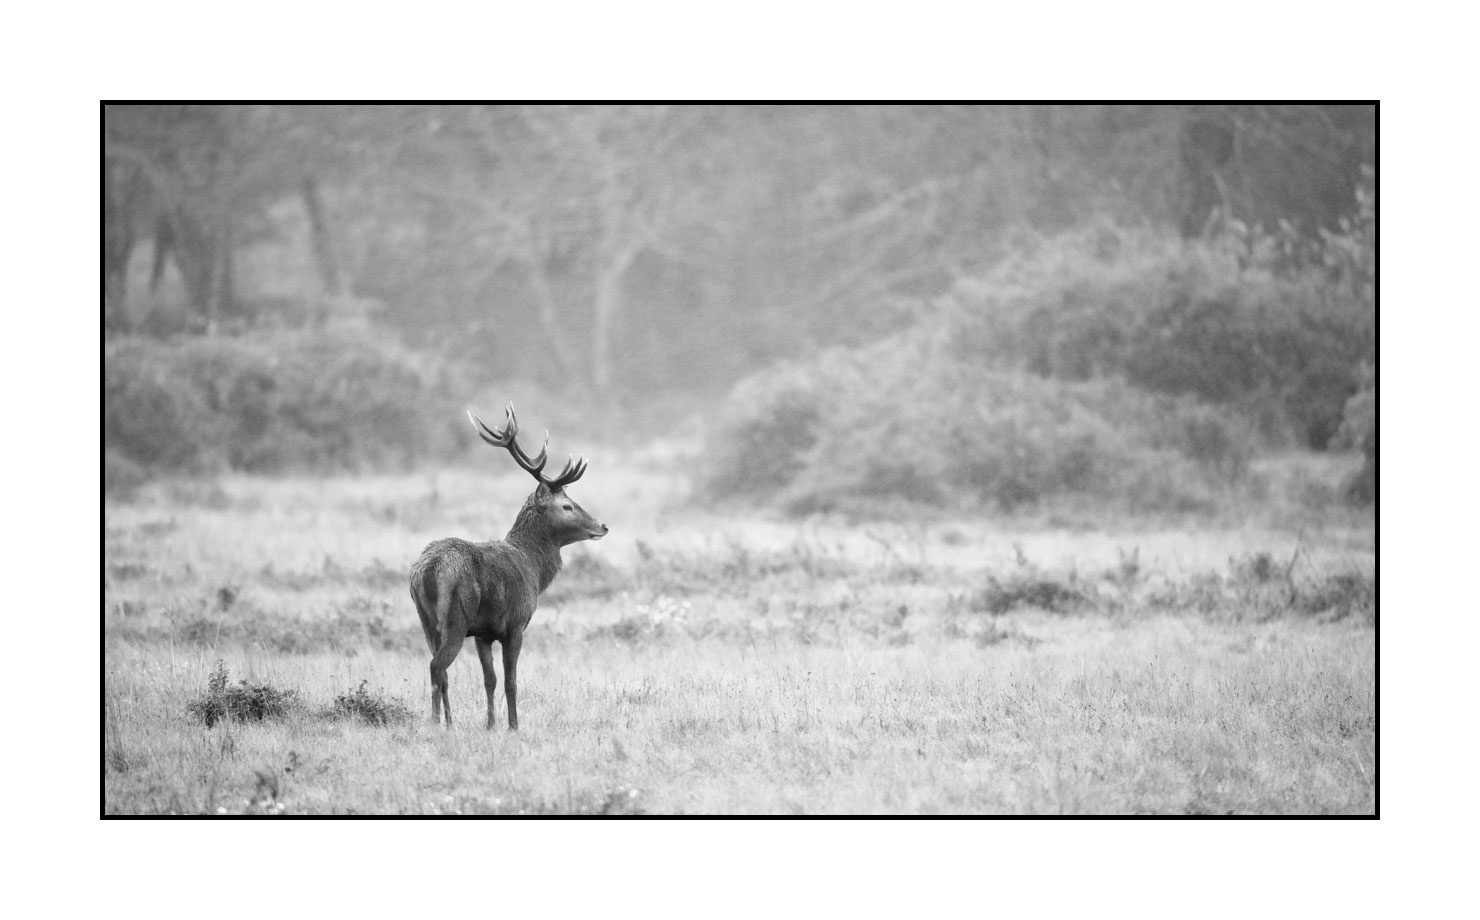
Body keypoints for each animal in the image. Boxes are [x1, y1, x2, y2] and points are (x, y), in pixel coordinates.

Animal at [409, 403, 608, 729]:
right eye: (567, 505)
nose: (602, 526)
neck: (534, 571)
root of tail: (427, 571)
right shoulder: (515, 625)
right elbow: (510, 681)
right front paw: (514, 726)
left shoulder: (483, 634)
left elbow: (489, 680)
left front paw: (490, 725)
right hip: (456, 617)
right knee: (437, 666)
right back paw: (438, 724)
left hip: (426, 621)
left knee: (441, 669)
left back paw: (448, 722)